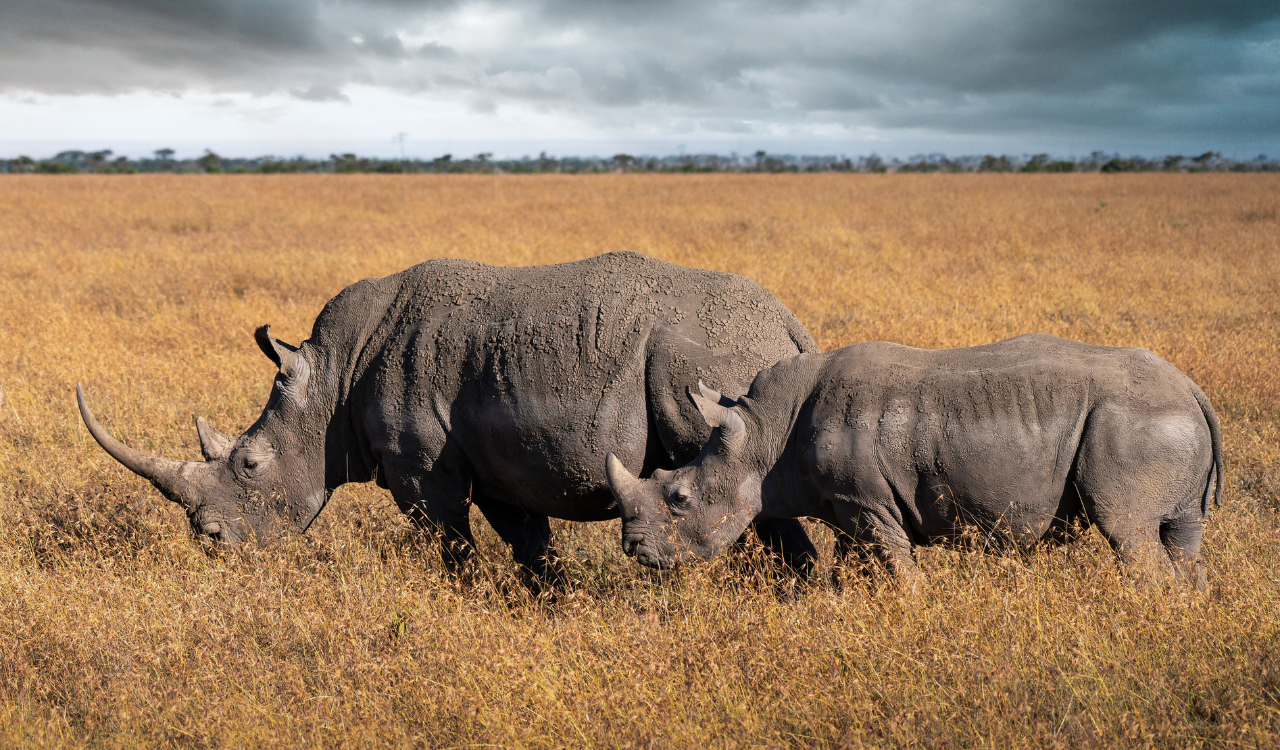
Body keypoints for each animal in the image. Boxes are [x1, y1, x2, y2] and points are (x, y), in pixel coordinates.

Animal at [80, 250, 819, 583]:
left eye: (251, 464)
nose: (211, 541)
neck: (331, 378)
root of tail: (788, 323)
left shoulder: (423, 472)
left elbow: (451, 545)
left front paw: (466, 596)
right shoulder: (503, 465)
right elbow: (530, 547)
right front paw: (550, 607)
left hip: (709, 358)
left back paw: (799, 600)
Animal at [604, 330, 1223, 583]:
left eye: (680, 498)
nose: (635, 550)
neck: (762, 435)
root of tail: (1193, 388)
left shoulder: (866, 501)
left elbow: (898, 569)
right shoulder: (852, 504)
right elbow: (855, 569)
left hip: (1134, 423)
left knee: (1128, 530)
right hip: (1163, 422)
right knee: (1181, 536)